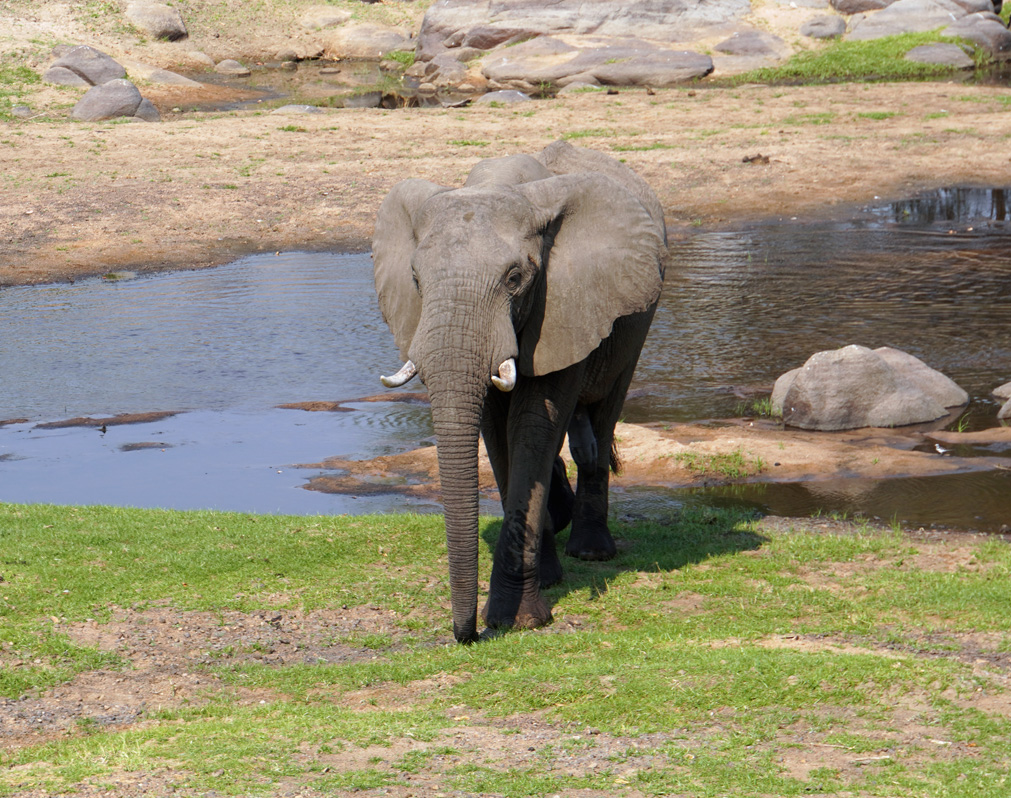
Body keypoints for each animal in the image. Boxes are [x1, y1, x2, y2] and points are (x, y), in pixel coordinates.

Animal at [372, 140, 667, 643]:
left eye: (514, 278)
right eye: (415, 279)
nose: (466, 634)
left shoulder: (566, 299)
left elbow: (533, 423)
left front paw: (519, 619)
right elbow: (497, 430)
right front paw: (539, 588)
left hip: (635, 320)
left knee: (601, 418)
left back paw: (591, 551)